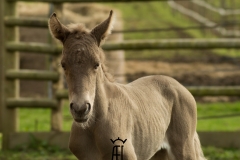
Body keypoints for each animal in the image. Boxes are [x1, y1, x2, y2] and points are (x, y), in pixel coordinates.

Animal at [48, 10, 206, 160]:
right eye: (63, 65)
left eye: (97, 64)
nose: (80, 109)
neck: (94, 125)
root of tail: (179, 86)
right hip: (159, 153)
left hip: (184, 149)